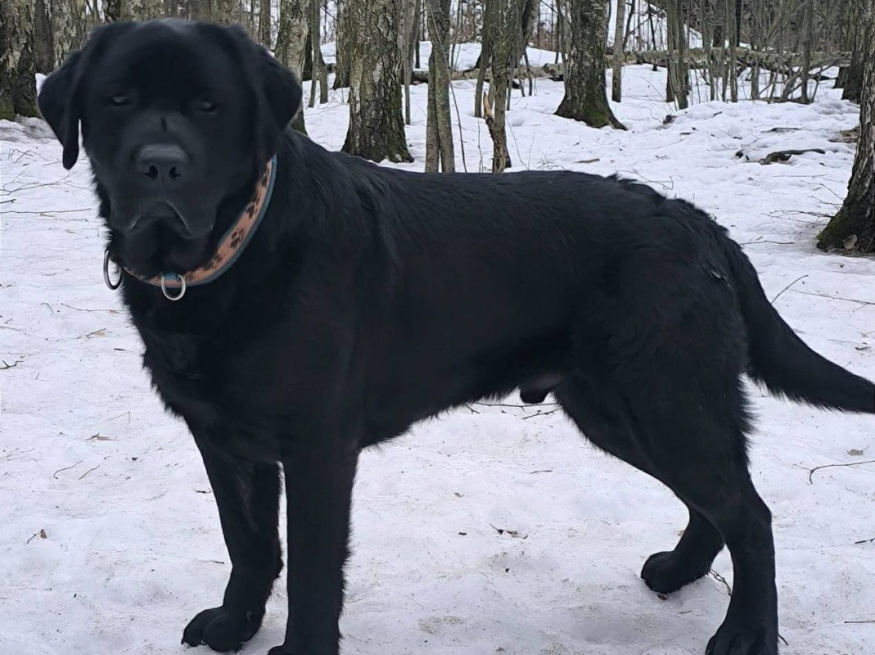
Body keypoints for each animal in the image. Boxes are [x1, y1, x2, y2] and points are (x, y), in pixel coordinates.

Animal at [37, 19, 872, 655]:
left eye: (209, 106)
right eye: (117, 100)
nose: (160, 167)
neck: (230, 259)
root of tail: (694, 219)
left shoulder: (316, 444)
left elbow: (310, 569)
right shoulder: (224, 438)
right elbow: (248, 543)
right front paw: (233, 625)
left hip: (662, 396)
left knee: (750, 513)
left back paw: (745, 634)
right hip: (617, 407)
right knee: (715, 503)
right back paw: (676, 572)